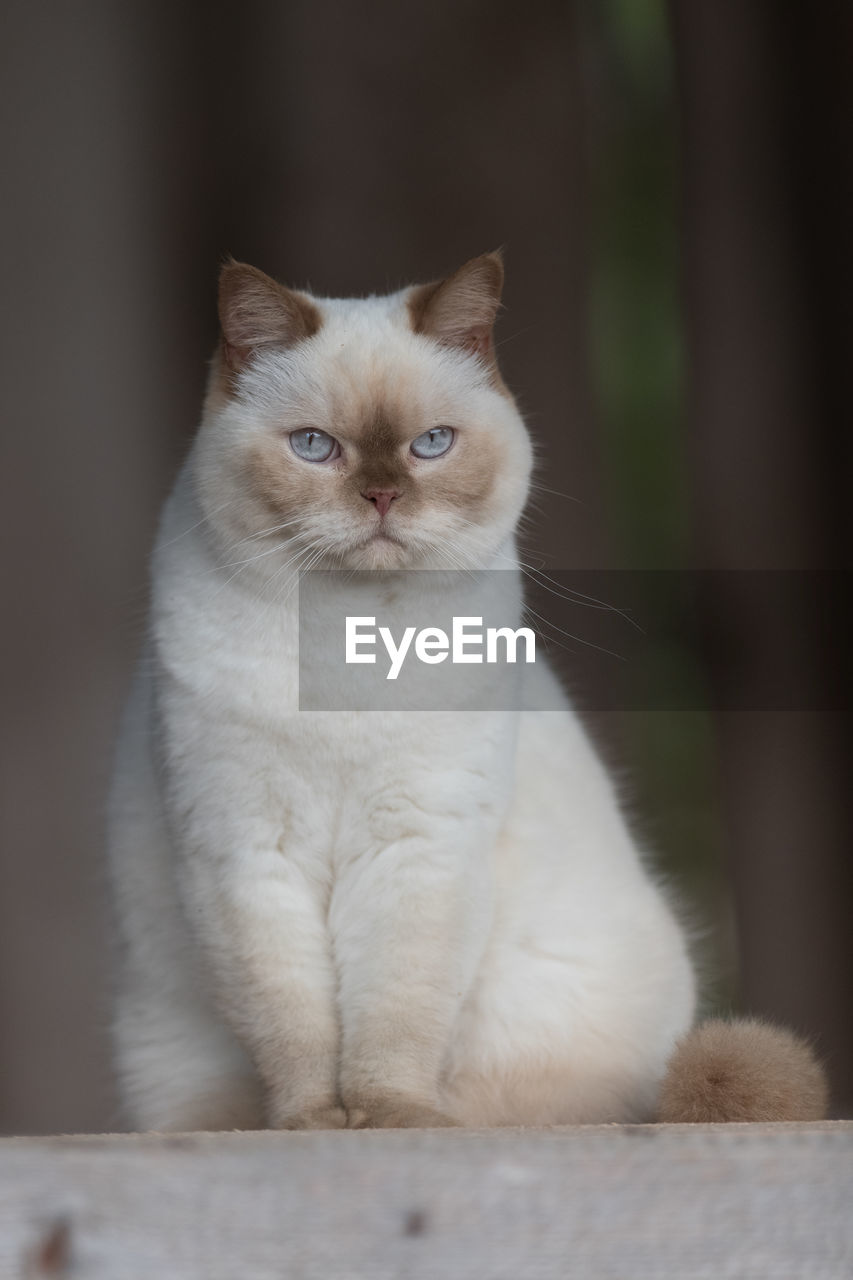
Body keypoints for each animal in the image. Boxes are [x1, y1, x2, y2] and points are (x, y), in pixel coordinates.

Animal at [108, 249, 824, 1131]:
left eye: (431, 445)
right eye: (314, 447)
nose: (382, 496)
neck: (351, 642)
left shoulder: (422, 843)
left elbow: (394, 1017)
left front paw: (390, 1122)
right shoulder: (244, 849)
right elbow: (296, 1027)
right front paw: (313, 1127)